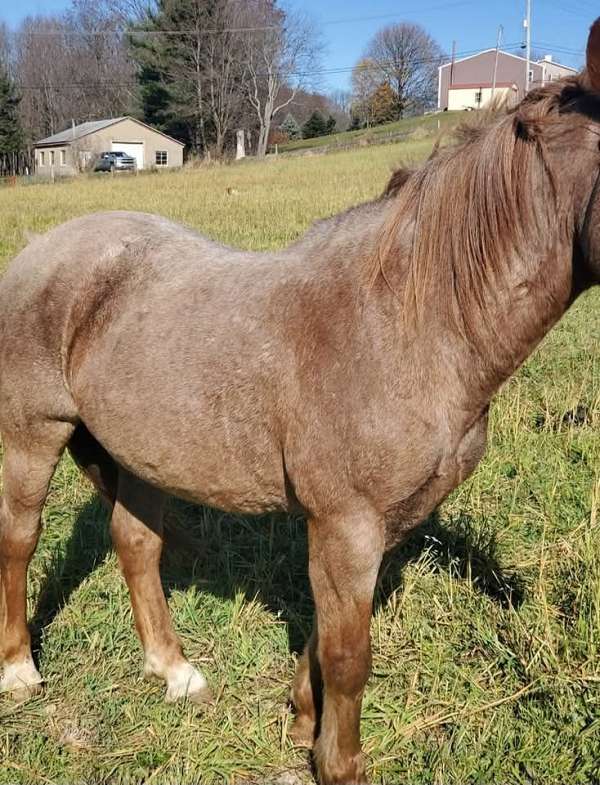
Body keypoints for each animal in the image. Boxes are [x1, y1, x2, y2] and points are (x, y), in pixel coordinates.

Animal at [1, 18, 600, 784]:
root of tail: (42, 247)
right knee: (19, 539)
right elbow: (350, 655)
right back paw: (19, 669)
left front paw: (302, 720)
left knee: (136, 544)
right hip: (34, 434)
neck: (413, 324)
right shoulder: (346, 522)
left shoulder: (375, 524)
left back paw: (174, 670)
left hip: (139, 450)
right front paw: (338, 762)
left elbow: (325, 634)